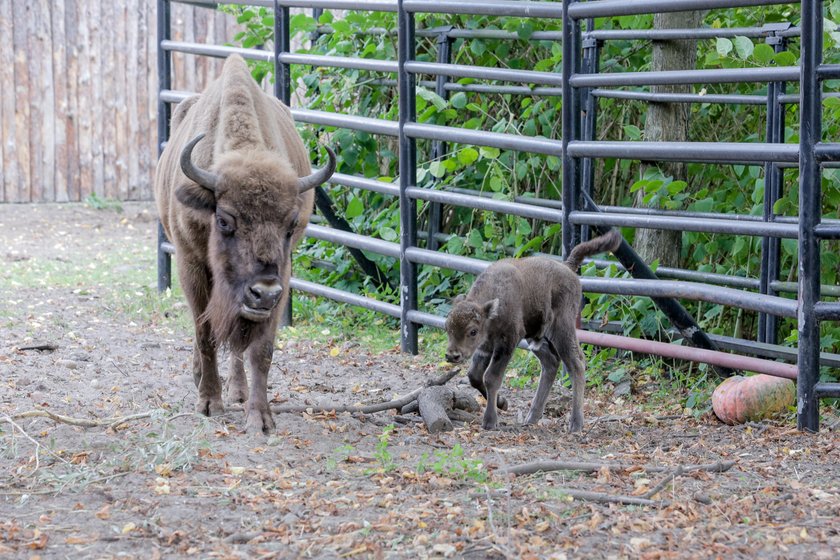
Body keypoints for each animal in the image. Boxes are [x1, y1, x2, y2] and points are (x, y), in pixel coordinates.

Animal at [442, 230, 620, 430]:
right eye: (447, 327)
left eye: (472, 331)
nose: (452, 355)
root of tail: (567, 267)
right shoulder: (485, 348)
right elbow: (474, 376)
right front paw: (502, 403)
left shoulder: (508, 341)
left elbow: (491, 377)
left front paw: (490, 421)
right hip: (536, 338)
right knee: (551, 363)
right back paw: (532, 417)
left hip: (562, 329)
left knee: (576, 363)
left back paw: (575, 424)